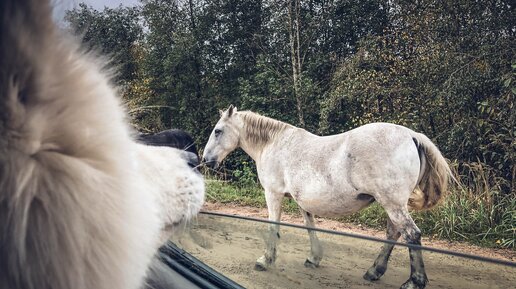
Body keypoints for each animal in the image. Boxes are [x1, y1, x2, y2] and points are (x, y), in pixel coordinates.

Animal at [203, 104, 452, 288]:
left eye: (217, 131)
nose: (206, 161)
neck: (274, 144)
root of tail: (411, 135)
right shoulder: (302, 201)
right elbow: (310, 227)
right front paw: (314, 258)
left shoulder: (273, 194)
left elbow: (274, 226)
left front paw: (266, 260)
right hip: (393, 204)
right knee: (394, 233)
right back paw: (374, 271)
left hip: (392, 203)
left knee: (412, 234)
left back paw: (414, 282)